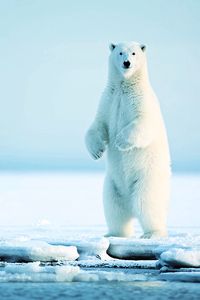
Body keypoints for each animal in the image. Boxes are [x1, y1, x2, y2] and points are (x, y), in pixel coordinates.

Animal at [85, 41, 171, 239]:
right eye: (120, 52)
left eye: (134, 53)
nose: (127, 63)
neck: (125, 86)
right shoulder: (108, 100)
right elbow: (98, 124)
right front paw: (97, 151)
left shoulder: (141, 100)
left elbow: (144, 123)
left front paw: (119, 141)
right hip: (112, 186)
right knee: (114, 209)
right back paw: (113, 233)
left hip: (146, 180)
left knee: (146, 205)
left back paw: (152, 233)